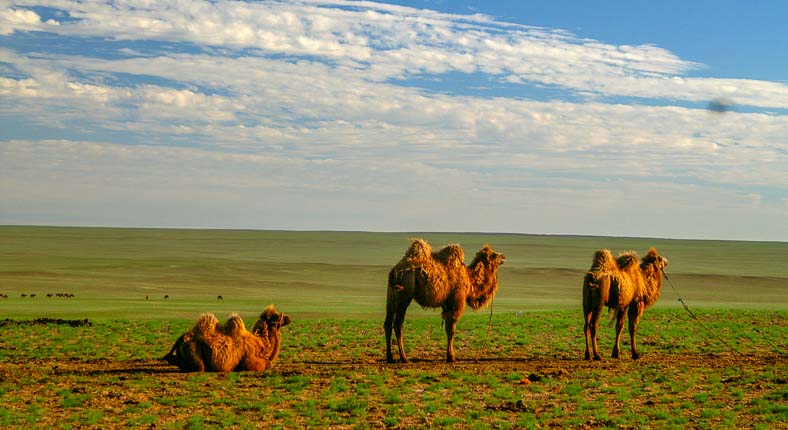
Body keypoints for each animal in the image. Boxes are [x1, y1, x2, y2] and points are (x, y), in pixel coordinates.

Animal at [163, 304, 292, 372]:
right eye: (276, 315)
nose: (289, 318)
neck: (262, 344)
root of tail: (183, 337)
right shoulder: (249, 361)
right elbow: (263, 365)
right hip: (193, 351)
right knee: (199, 367)